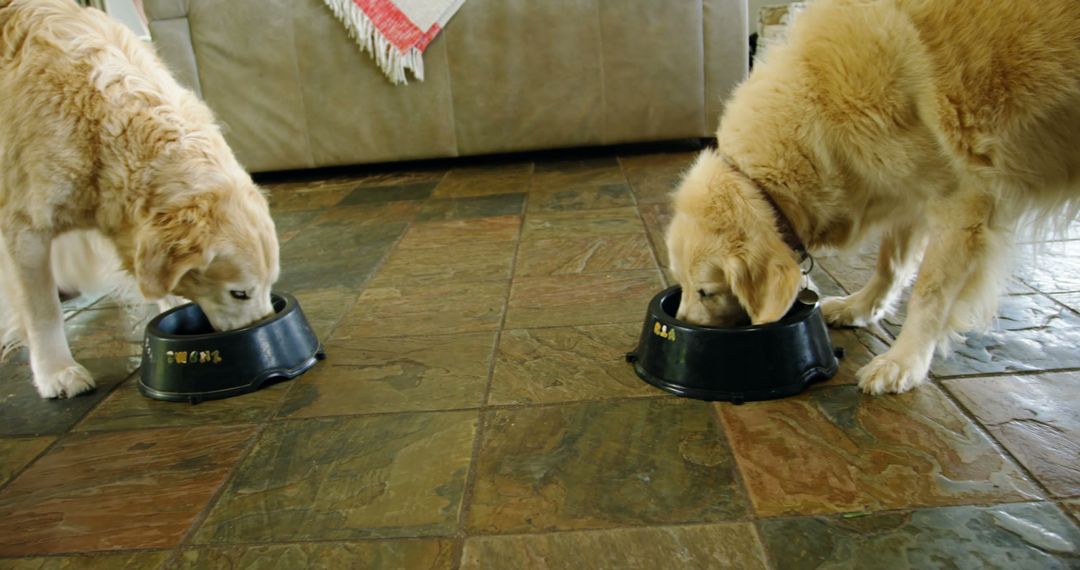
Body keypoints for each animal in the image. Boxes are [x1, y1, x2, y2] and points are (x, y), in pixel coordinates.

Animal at [1, 0, 278, 399]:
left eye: (272, 285)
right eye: (240, 294)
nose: (264, 328)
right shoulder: (25, 228)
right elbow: (43, 310)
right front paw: (57, 372)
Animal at [665, 0, 1080, 395]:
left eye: (707, 292)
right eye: (681, 284)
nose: (678, 325)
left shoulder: (963, 199)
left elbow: (930, 291)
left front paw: (903, 362)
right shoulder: (910, 187)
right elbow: (890, 264)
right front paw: (860, 307)